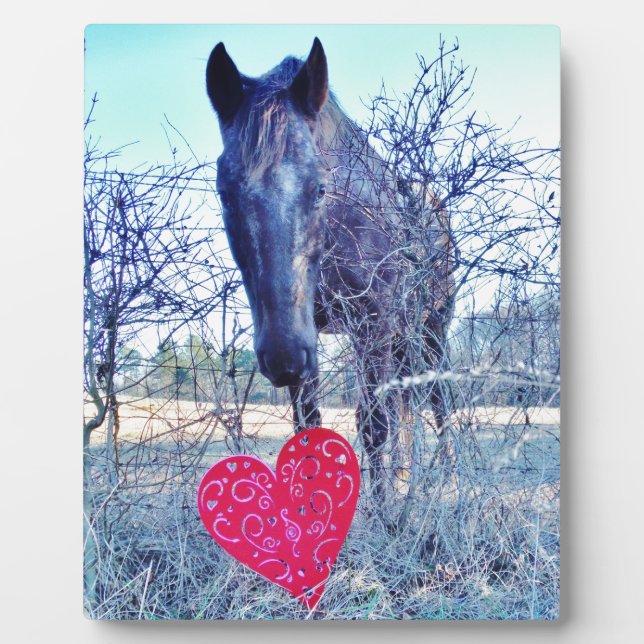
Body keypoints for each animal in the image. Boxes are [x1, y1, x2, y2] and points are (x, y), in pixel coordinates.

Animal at [205, 38, 455, 498]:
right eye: (225, 194)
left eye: (320, 188)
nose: (281, 355)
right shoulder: (308, 341)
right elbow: (308, 429)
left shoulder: (371, 324)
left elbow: (374, 425)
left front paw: (381, 511)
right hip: (402, 339)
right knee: (409, 408)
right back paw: (406, 479)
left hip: (432, 332)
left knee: (438, 400)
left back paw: (451, 481)